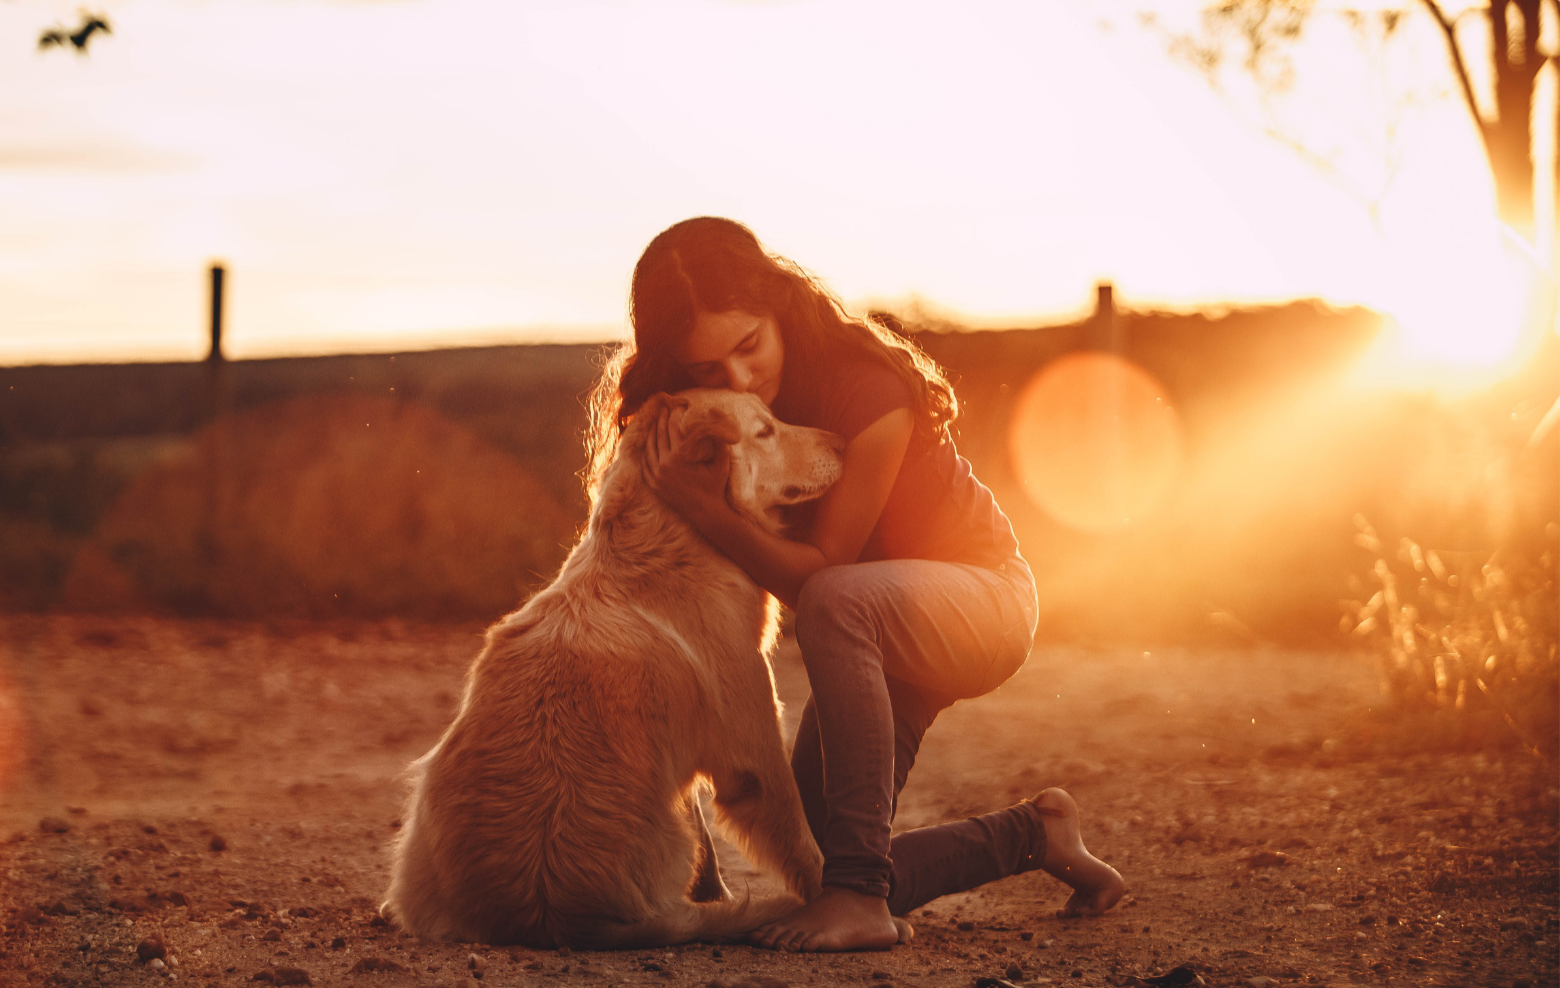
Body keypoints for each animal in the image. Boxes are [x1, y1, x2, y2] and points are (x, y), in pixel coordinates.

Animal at [380, 387, 842, 948]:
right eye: (765, 430)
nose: (843, 443)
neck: (667, 541)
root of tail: (552, 915)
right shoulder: (754, 746)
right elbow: (800, 836)